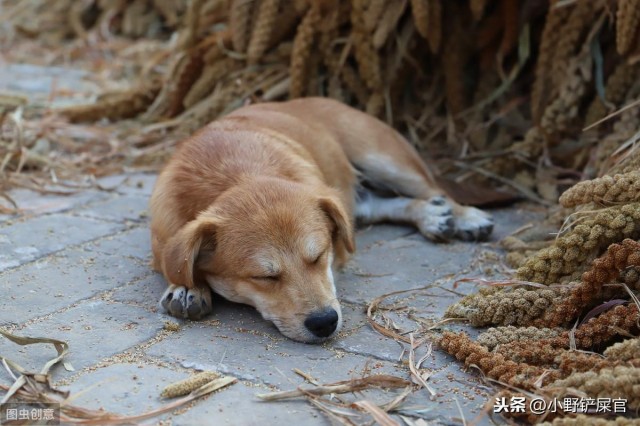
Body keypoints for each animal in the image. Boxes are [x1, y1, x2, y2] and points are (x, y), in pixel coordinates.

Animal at [149, 97, 490, 342]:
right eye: (264, 277)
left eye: (318, 256)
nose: (325, 323)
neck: (237, 175)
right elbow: (176, 263)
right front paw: (188, 287)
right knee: (376, 206)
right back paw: (430, 215)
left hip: (385, 159)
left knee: (435, 190)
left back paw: (463, 216)